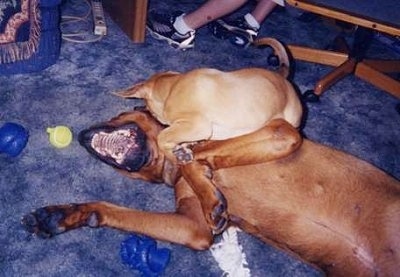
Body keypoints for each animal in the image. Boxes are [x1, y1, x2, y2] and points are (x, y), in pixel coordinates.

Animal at [22, 110, 400, 276]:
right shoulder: (194, 229)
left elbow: (190, 152)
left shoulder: (280, 132)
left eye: (118, 114)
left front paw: (209, 189)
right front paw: (64, 214)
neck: (169, 174)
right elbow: (110, 209)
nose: (81, 134)